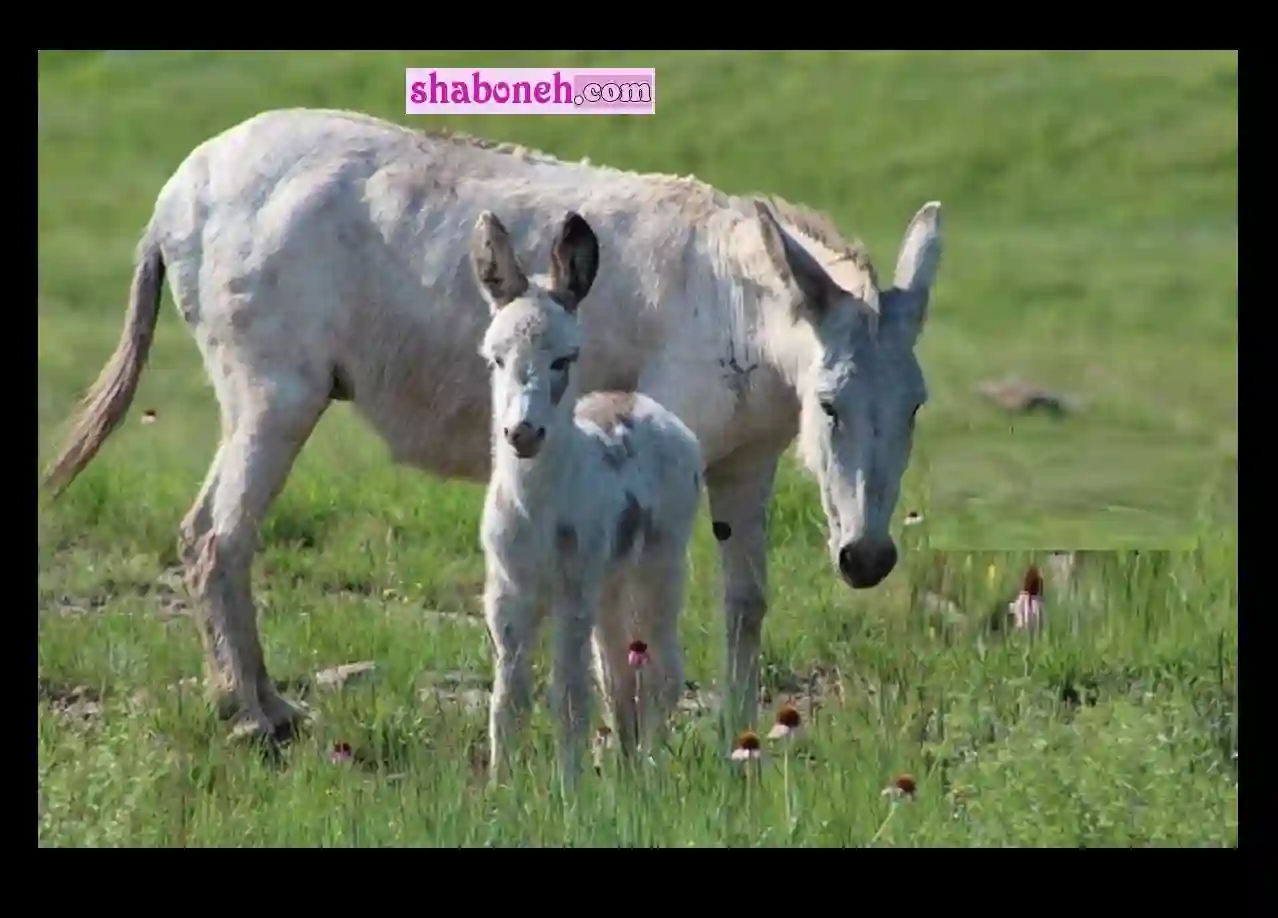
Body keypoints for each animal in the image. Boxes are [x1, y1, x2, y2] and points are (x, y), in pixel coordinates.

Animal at [475, 210, 705, 792]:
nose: (522, 434)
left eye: (565, 359)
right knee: (618, 674)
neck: (537, 507)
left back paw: (649, 771)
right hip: (610, 582)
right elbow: (508, 699)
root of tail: (640, 402)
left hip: (659, 566)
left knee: (663, 670)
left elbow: (567, 696)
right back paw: (625, 765)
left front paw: (569, 791)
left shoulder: (571, 593)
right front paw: (499, 790)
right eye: (496, 359)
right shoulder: (506, 595)